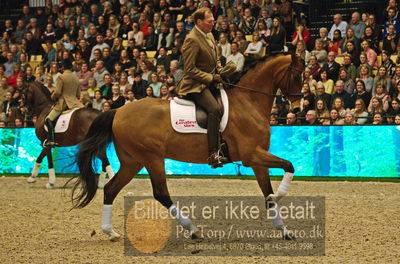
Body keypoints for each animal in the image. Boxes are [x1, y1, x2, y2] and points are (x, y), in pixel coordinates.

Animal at [72, 53, 304, 241]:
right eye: (296, 76)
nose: (297, 109)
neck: (248, 103)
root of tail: (118, 111)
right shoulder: (252, 155)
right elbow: (289, 166)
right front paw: (280, 195)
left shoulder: (257, 159)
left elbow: (268, 190)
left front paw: (284, 230)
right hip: (151, 158)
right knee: (161, 193)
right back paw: (193, 230)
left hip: (133, 161)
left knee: (111, 189)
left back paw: (110, 232)